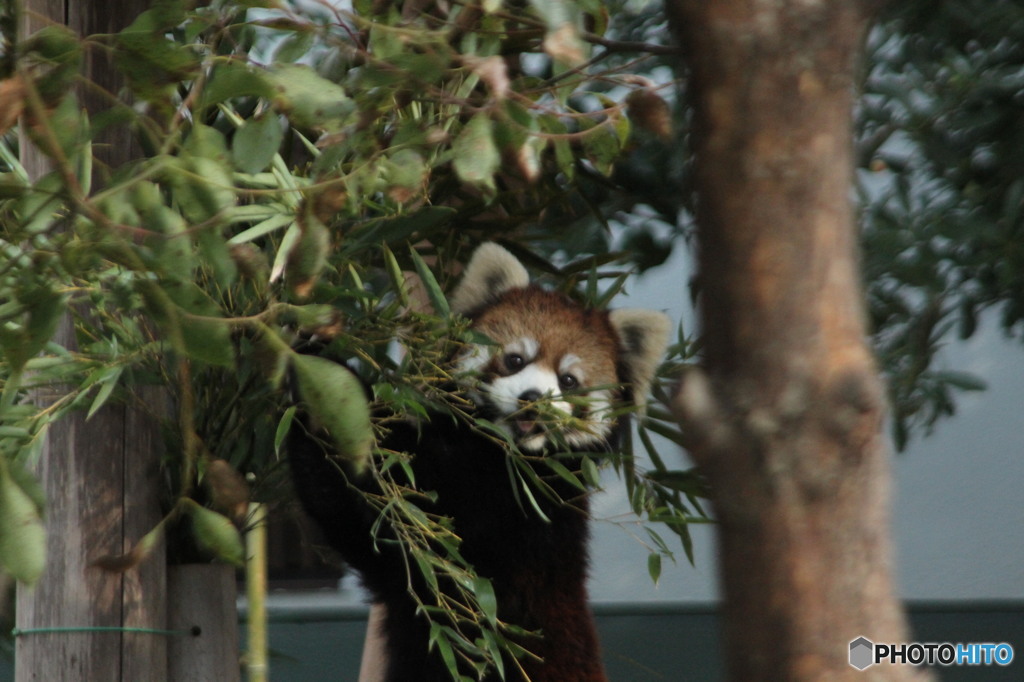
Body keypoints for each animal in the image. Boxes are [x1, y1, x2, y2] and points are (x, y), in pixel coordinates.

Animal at [288, 241, 671, 675]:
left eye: (569, 381)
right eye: (516, 359)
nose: (533, 400)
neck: (501, 455)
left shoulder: (519, 516)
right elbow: (345, 510)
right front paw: (312, 360)